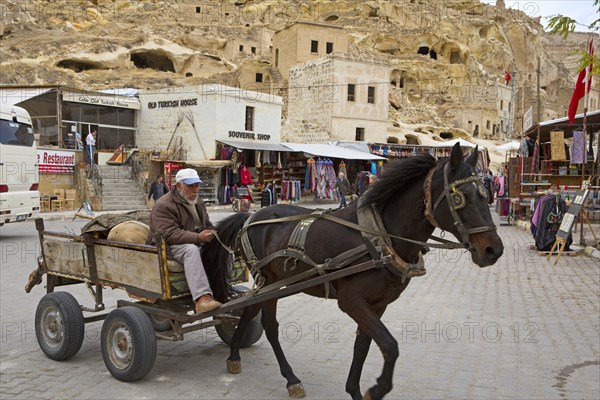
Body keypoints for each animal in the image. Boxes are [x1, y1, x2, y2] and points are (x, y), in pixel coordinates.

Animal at [204, 145, 504, 400]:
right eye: (460, 197)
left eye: (485, 195)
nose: (493, 250)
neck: (380, 236)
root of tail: (251, 216)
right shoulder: (351, 302)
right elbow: (390, 345)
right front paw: (377, 388)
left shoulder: (378, 305)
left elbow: (364, 346)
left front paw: (355, 390)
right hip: (270, 280)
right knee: (271, 327)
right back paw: (290, 378)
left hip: (267, 282)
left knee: (248, 312)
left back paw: (234, 354)